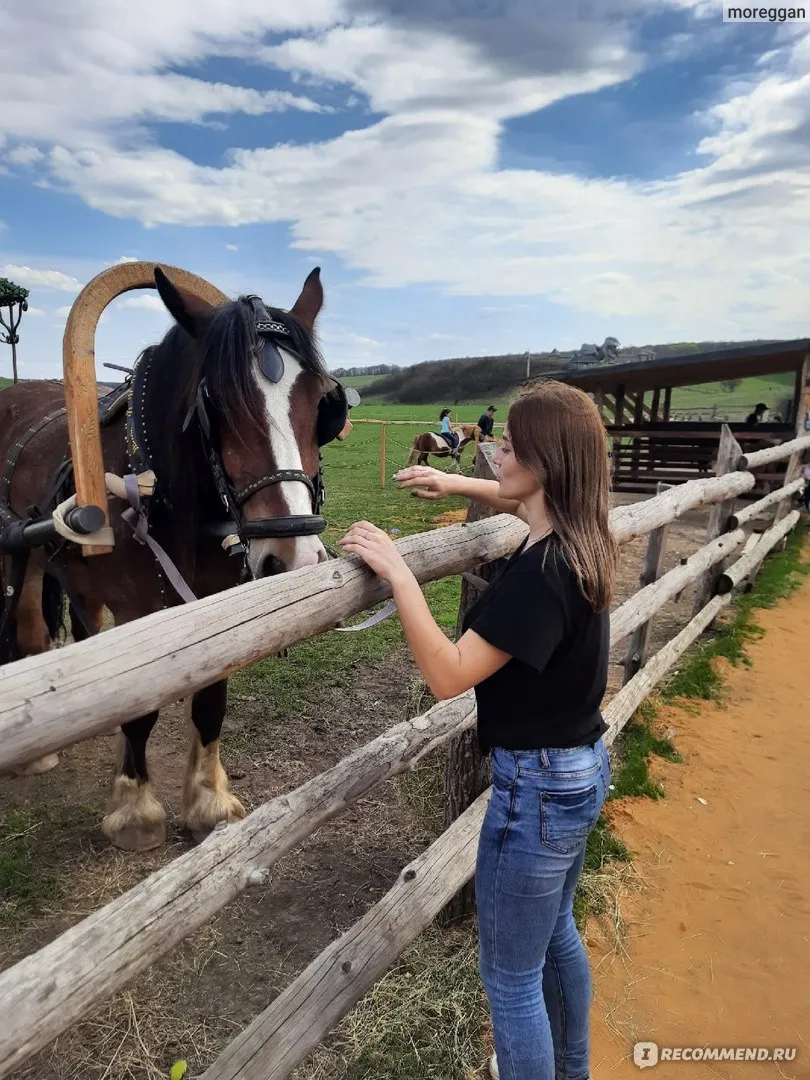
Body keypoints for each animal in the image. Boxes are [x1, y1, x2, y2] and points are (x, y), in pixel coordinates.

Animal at [0, 263, 354, 851]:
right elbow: (141, 711)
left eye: (325, 404)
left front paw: (208, 802)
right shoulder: (137, 611)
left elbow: (210, 701)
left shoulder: (223, 602)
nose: (295, 562)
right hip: (22, 554)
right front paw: (134, 811)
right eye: (217, 405)